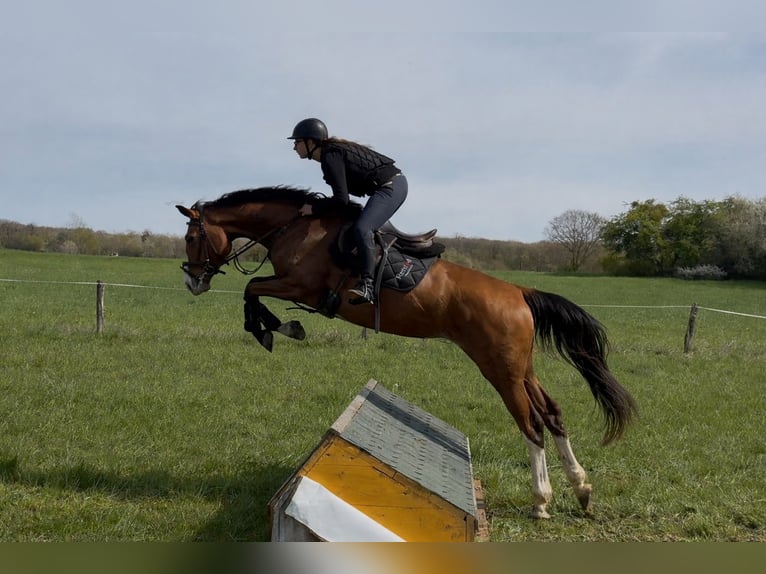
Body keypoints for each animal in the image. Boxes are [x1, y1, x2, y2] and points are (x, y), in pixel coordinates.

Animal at [176, 186, 638, 519]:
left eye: (192, 237)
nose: (193, 282)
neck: (294, 228)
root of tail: (520, 292)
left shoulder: (299, 286)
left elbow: (251, 289)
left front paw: (276, 329)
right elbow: (252, 290)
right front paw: (279, 328)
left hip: (499, 370)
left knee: (532, 425)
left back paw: (541, 500)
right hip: (521, 368)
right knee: (553, 415)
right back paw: (581, 488)